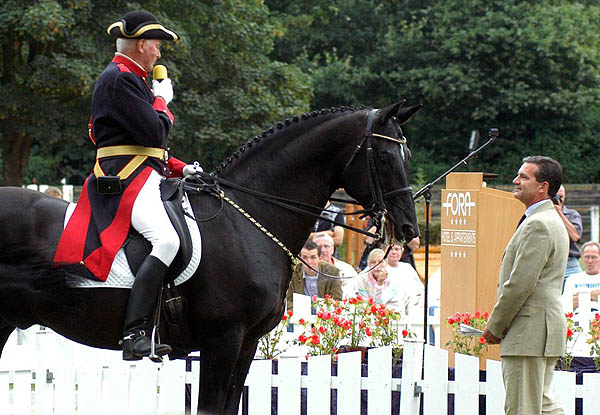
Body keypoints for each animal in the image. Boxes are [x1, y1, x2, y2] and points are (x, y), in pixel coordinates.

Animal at [0, 101, 420, 412]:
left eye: (407, 153)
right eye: (384, 158)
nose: (408, 228)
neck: (247, 218)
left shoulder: (246, 344)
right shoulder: (222, 340)